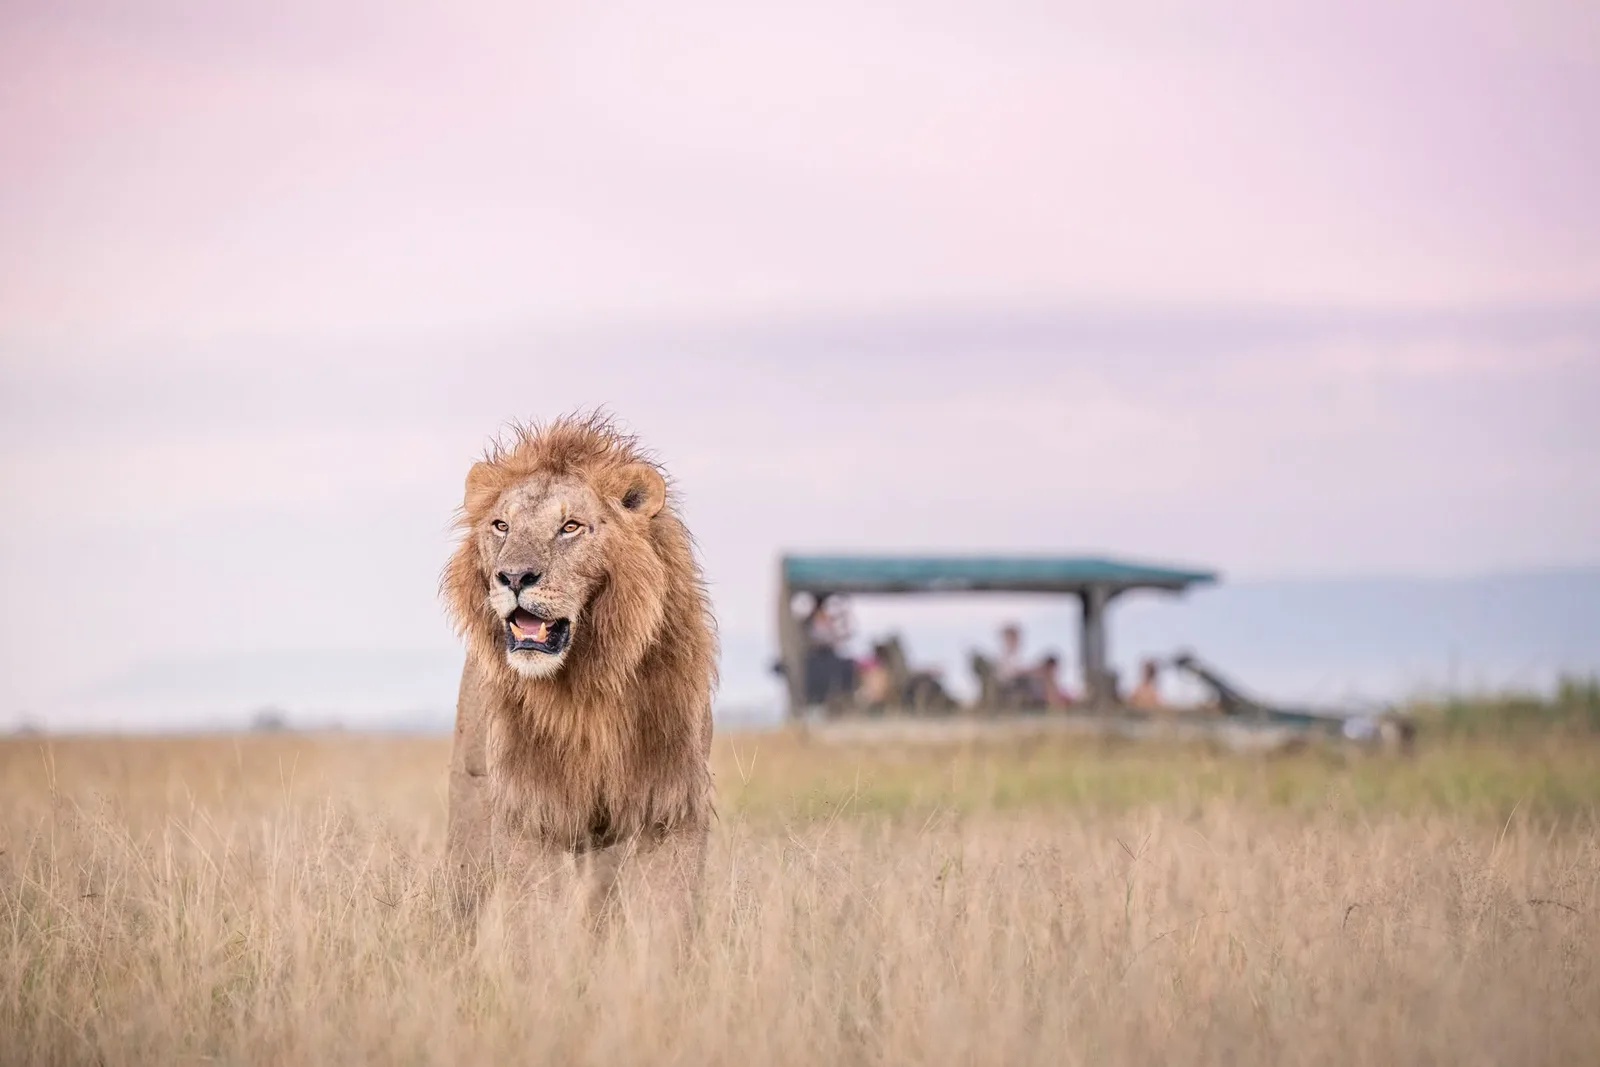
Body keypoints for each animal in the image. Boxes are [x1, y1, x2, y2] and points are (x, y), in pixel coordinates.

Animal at [441, 413, 717, 937]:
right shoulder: (532, 808)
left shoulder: (667, 802)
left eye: (570, 527)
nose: (513, 577)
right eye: (501, 525)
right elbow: (536, 917)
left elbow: (664, 916)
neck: (587, 687)